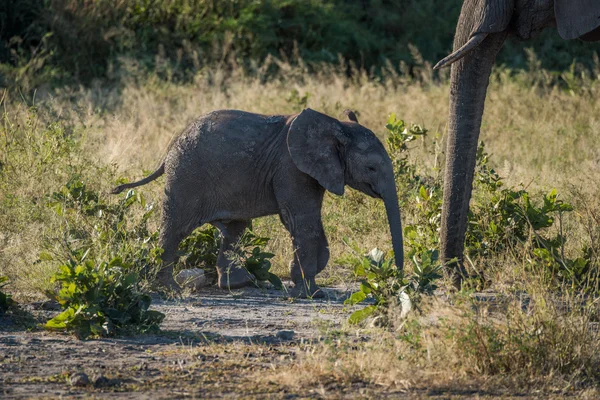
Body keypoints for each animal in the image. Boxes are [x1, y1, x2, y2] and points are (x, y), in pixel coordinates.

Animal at [112, 108, 404, 296]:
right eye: (371, 168)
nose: (397, 283)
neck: (334, 126)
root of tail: (168, 151)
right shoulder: (291, 168)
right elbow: (302, 221)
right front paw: (311, 292)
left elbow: (309, 222)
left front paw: (306, 281)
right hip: (186, 177)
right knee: (176, 229)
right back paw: (171, 289)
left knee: (234, 229)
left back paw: (240, 285)